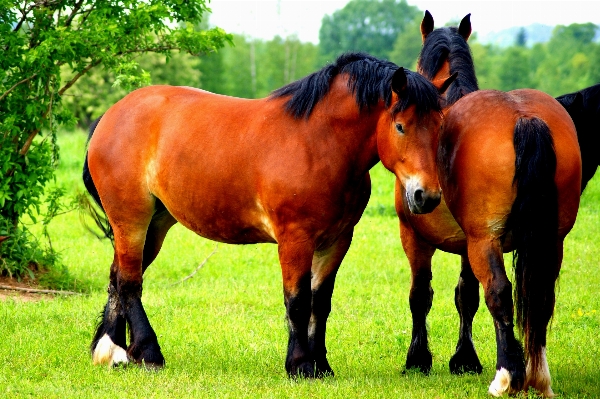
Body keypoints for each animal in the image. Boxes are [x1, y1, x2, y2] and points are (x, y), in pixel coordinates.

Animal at [83, 52, 454, 378]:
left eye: (440, 127)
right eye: (401, 126)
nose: (426, 196)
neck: (319, 143)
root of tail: (111, 116)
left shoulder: (336, 240)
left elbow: (320, 302)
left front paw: (322, 365)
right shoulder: (295, 239)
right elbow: (298, 302)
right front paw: (301, 365)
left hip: (156, 224)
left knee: (118, 277)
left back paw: (111, 351)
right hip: (131, 218)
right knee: (130, 282)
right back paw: (146, 353)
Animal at [394, 11, 580, 396]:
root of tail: (524, 116)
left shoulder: (415, 237)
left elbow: (421, 294)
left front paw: (418, 359)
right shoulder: (467, 244)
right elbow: (466, 295)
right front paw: (464, 359)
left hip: (486, 242)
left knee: (500, 292)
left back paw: (507, 376)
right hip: (550, 241)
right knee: (541, 296)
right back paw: (538, 376)